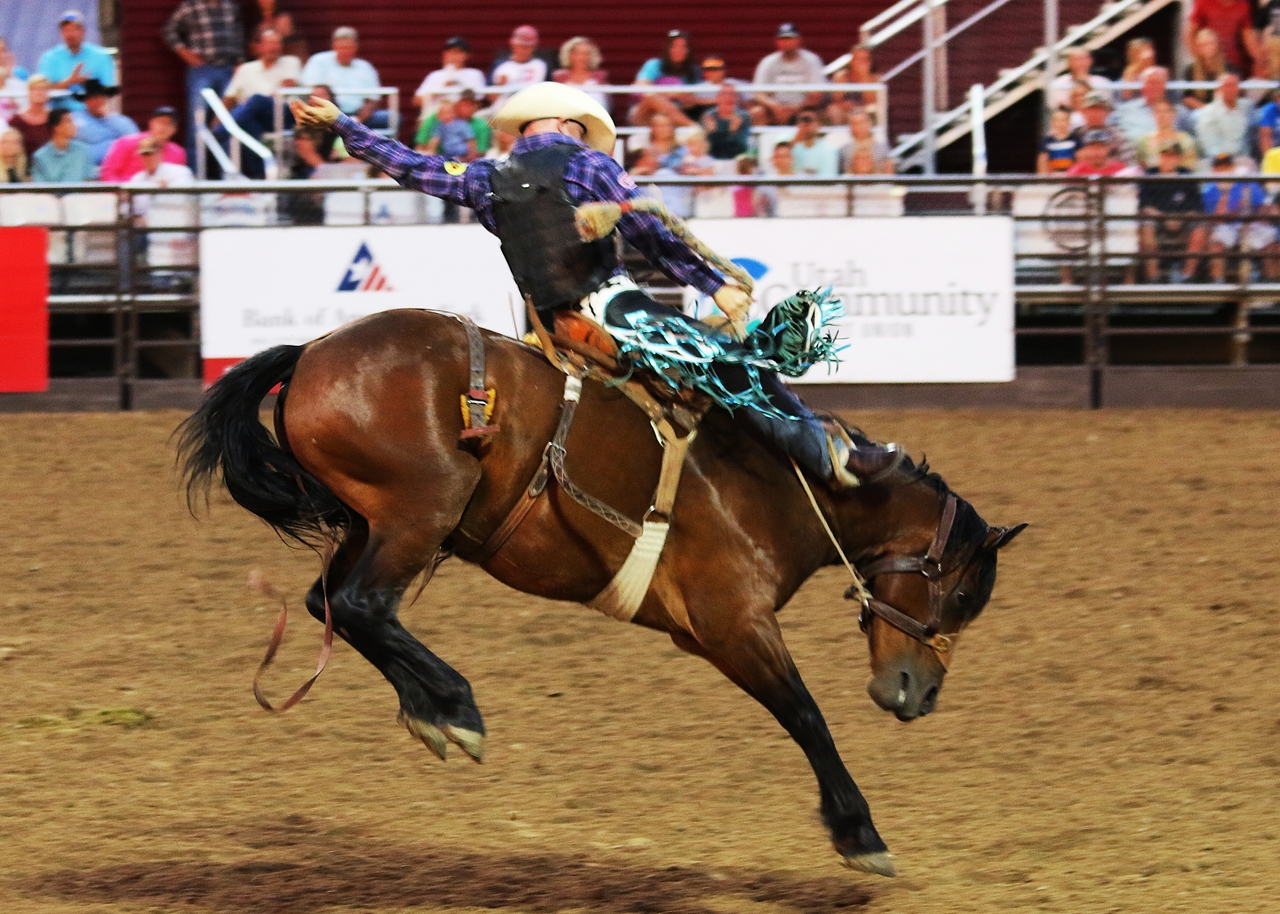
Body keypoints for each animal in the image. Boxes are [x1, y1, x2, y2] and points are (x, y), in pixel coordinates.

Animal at [180, 308, 1024, 875]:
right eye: (960, 597)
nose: (919, 694)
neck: (789, 483)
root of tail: (312, 352)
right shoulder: (733, 625)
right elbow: (806, 715)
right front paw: (861, 834)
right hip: (420, 512)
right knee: (359, 606)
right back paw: (456, 706)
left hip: (373, 524)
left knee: (335, 605)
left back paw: (431, 711)